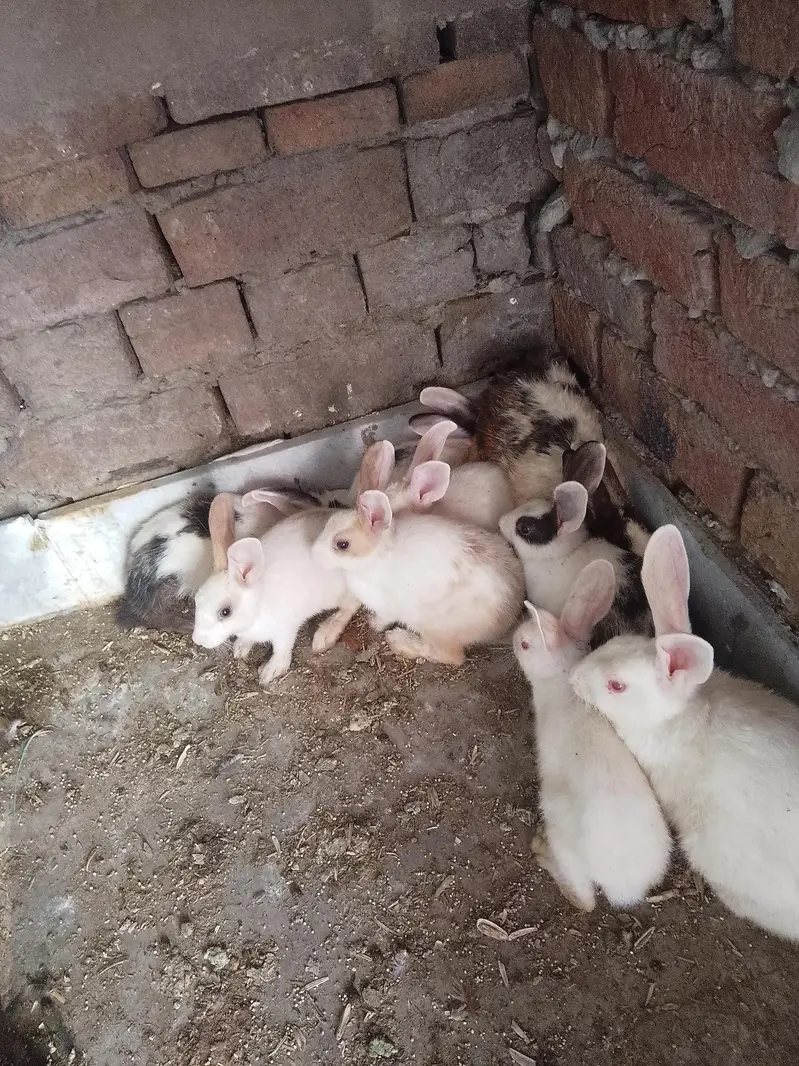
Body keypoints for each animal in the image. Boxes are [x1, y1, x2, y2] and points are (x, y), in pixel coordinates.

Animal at [192, 492, 359, 685]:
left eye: (225, 612)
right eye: (196, 600)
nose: (198, 640)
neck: (258, 605)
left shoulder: (285, 629)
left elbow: (281, 649)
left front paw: (270, 671)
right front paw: (240, 649)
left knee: (350, 608)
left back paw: (325, 635)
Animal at [311, 460, 525, 666]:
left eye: (342, 544)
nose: (313, 553)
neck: (376, 554)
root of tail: (509, 614)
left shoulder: (388, 604)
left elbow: (383, 617)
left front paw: (374, 624)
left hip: (434, 626)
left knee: (451, 656)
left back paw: (399, 640)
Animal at [515, 559, 671, 910]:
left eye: (526, 644)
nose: (513, 637)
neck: (560, 679)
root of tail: (624, 888)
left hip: (560, 825)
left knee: (585, 901)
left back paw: (542, 852)